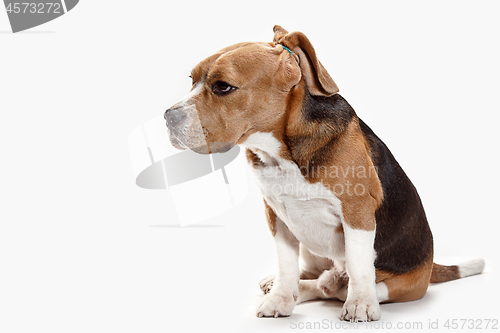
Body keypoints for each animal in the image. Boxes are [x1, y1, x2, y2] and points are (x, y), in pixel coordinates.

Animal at [164, 24, 484, 320]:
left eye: (223, 87)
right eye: (192, 80)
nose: (168, 117)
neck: (282, 153)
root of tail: (429, 267)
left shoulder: (357, 212)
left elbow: (358, 264)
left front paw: (360, 305)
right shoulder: (276, 215)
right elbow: (286, 265)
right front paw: (280, 299)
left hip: (403, 284)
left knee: (340, 284)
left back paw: (340, 285)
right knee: (313, 278)